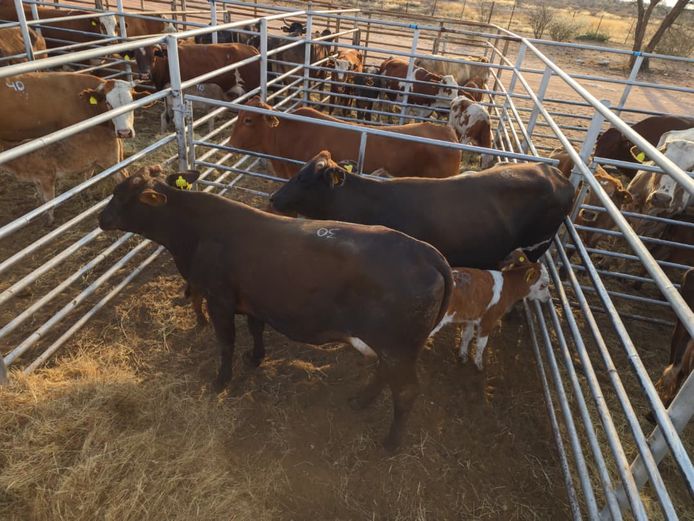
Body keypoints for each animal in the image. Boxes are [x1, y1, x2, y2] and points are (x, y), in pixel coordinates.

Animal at [98, 168, 454, 451]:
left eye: (119, 194)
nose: (100, 219)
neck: (196, 232)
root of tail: (425, 252)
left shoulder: (219, 299)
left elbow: (225, 343)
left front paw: (221, 381)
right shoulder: (253, 300)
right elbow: (256, 329)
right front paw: (255, 357)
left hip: (397, 347)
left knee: (405, 392)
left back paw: (391, 443)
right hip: (392, 347)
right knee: (384, 374)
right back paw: (360, 401)